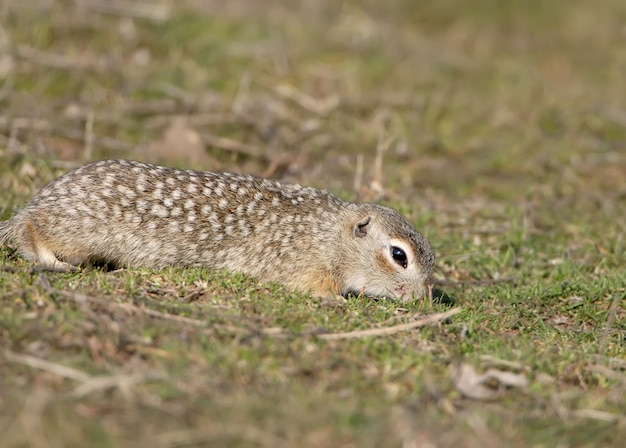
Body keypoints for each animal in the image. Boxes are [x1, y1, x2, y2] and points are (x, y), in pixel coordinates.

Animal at [0, 159, 434, 300]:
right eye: (399, 255)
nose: (423, 299)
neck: (330, 235)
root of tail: (37, 201)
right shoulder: (304, 267)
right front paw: (340, 301)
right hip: (75, 230)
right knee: (31, 231)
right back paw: (51, 259)